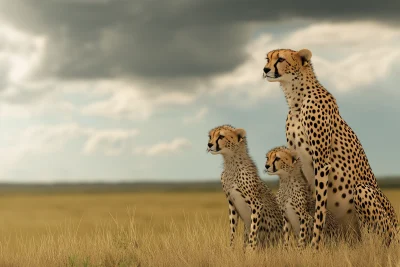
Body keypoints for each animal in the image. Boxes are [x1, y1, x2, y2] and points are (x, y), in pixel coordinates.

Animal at [262, 48, 396, 249]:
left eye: (280, 59)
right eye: (267, 58)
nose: (265, 69)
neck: (296, 99)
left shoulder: (321, 162)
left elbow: (319, 209)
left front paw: (314, 247)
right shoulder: (298, 162)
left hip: (364, 192)